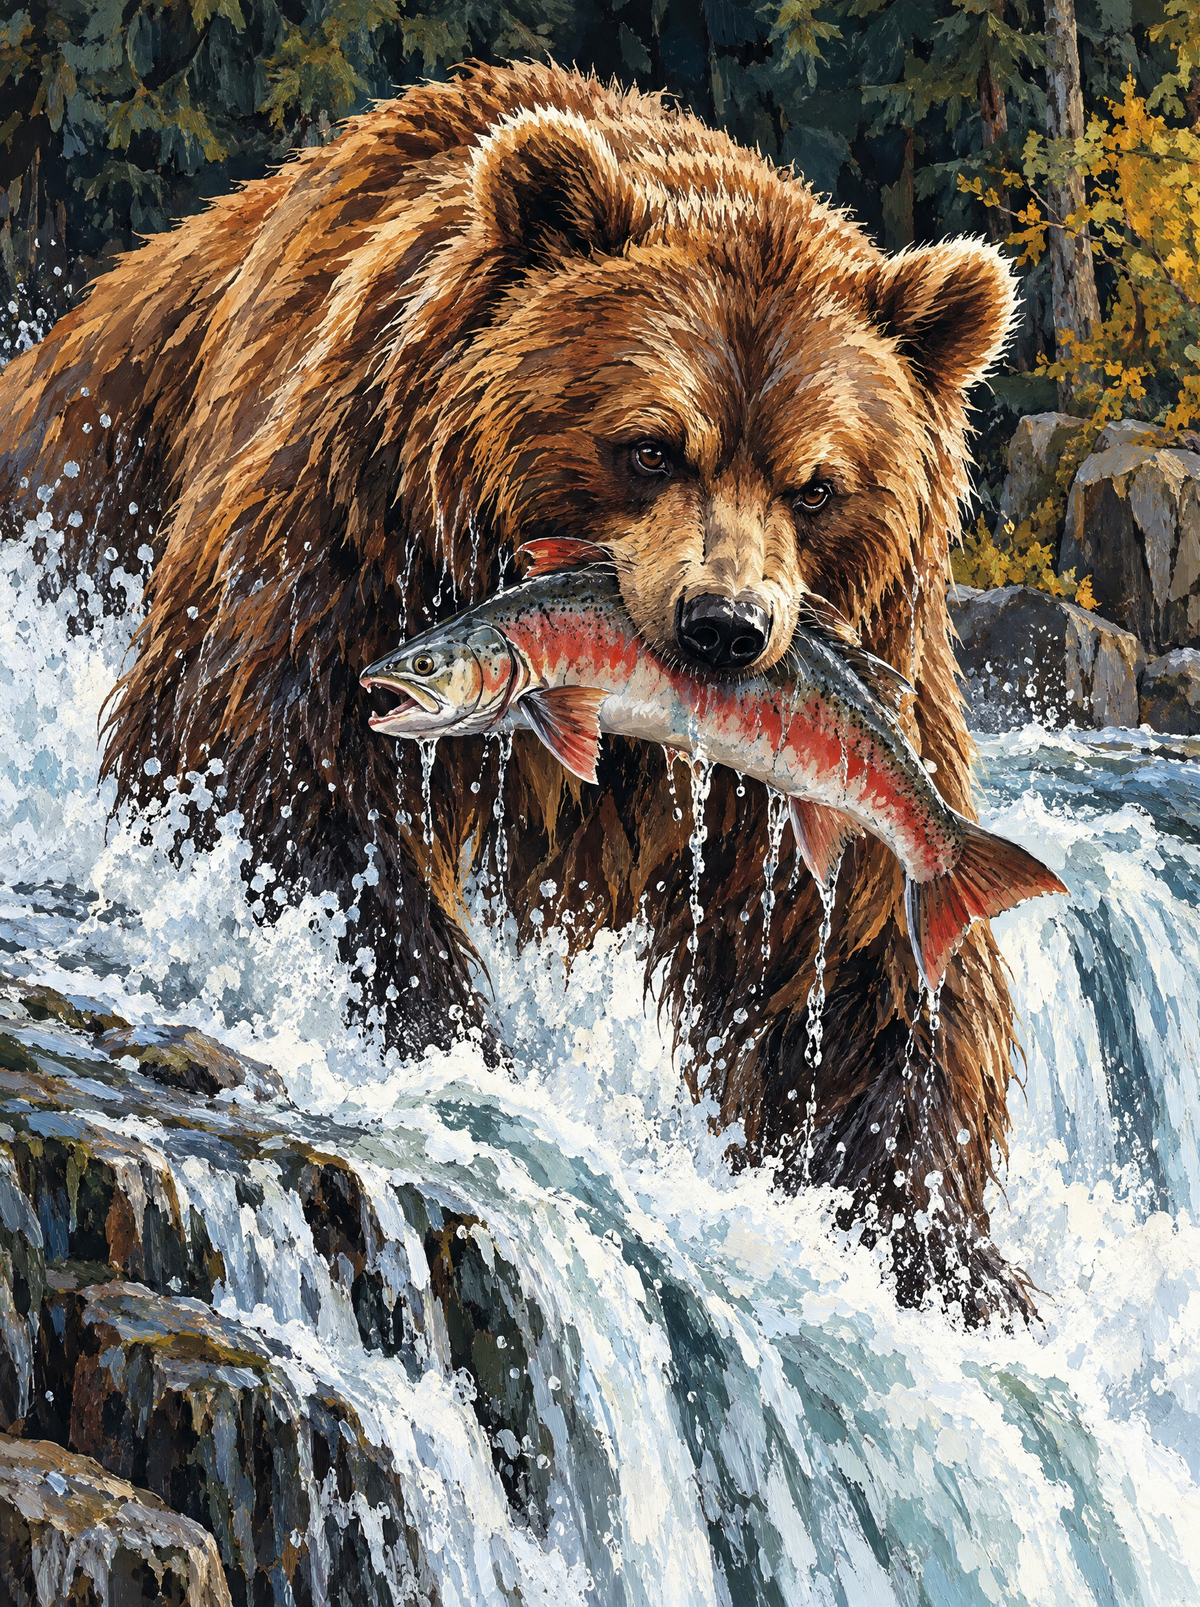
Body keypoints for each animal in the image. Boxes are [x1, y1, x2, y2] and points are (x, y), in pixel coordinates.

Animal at [0, 60, 1026, 1324]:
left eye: (818, 483)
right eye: (650, 444)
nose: (725, 629)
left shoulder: (830, 717)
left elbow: (852, 961)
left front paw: (936, 1246)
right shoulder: (359, 527)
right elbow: (270, 759)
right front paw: (444, 1031)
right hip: (85, 476)